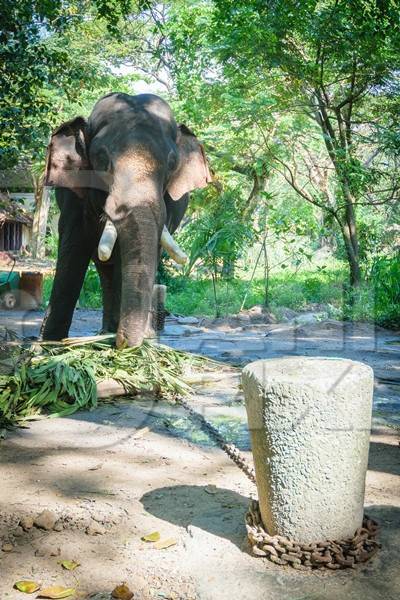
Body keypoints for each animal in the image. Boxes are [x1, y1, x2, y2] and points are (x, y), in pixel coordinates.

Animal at [41, 93, 212, 346]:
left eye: (172, 165)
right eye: (102, 160)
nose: (123, 341)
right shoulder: (74, 193)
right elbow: (73, 246)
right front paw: (49, 345)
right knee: (103, 267)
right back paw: (105, 332)